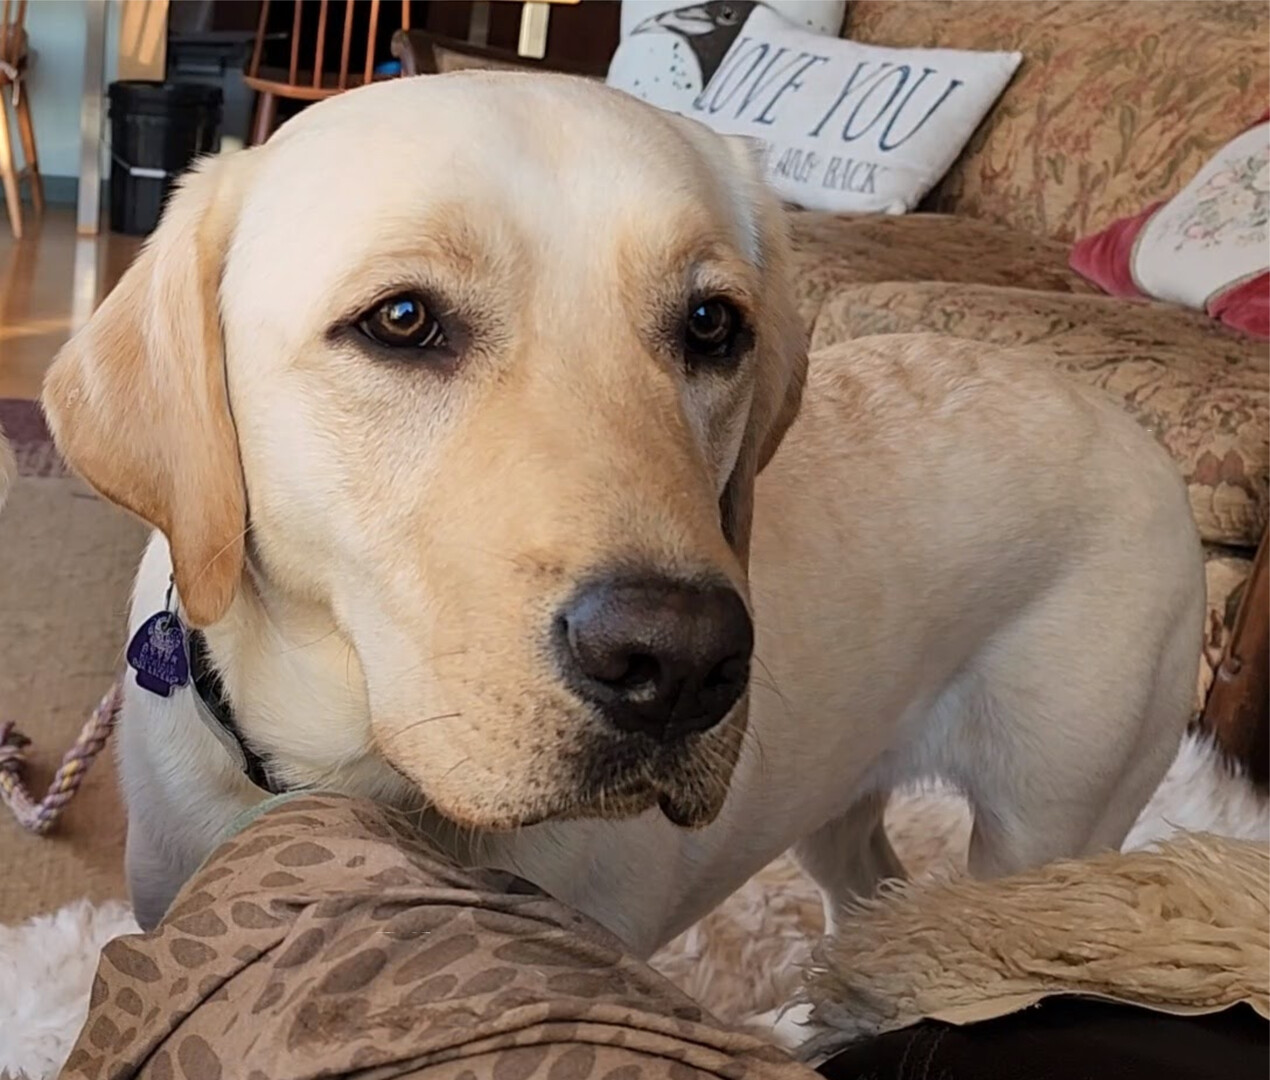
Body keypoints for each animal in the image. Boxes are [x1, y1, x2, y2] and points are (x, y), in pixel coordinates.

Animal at [44, 77, 1203, 965]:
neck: (364, 788)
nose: (682, 663)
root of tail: (1135, 427)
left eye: (712, 324)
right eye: (402, 320)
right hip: (842, 802)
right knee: (870, 896)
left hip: (1047, 834)